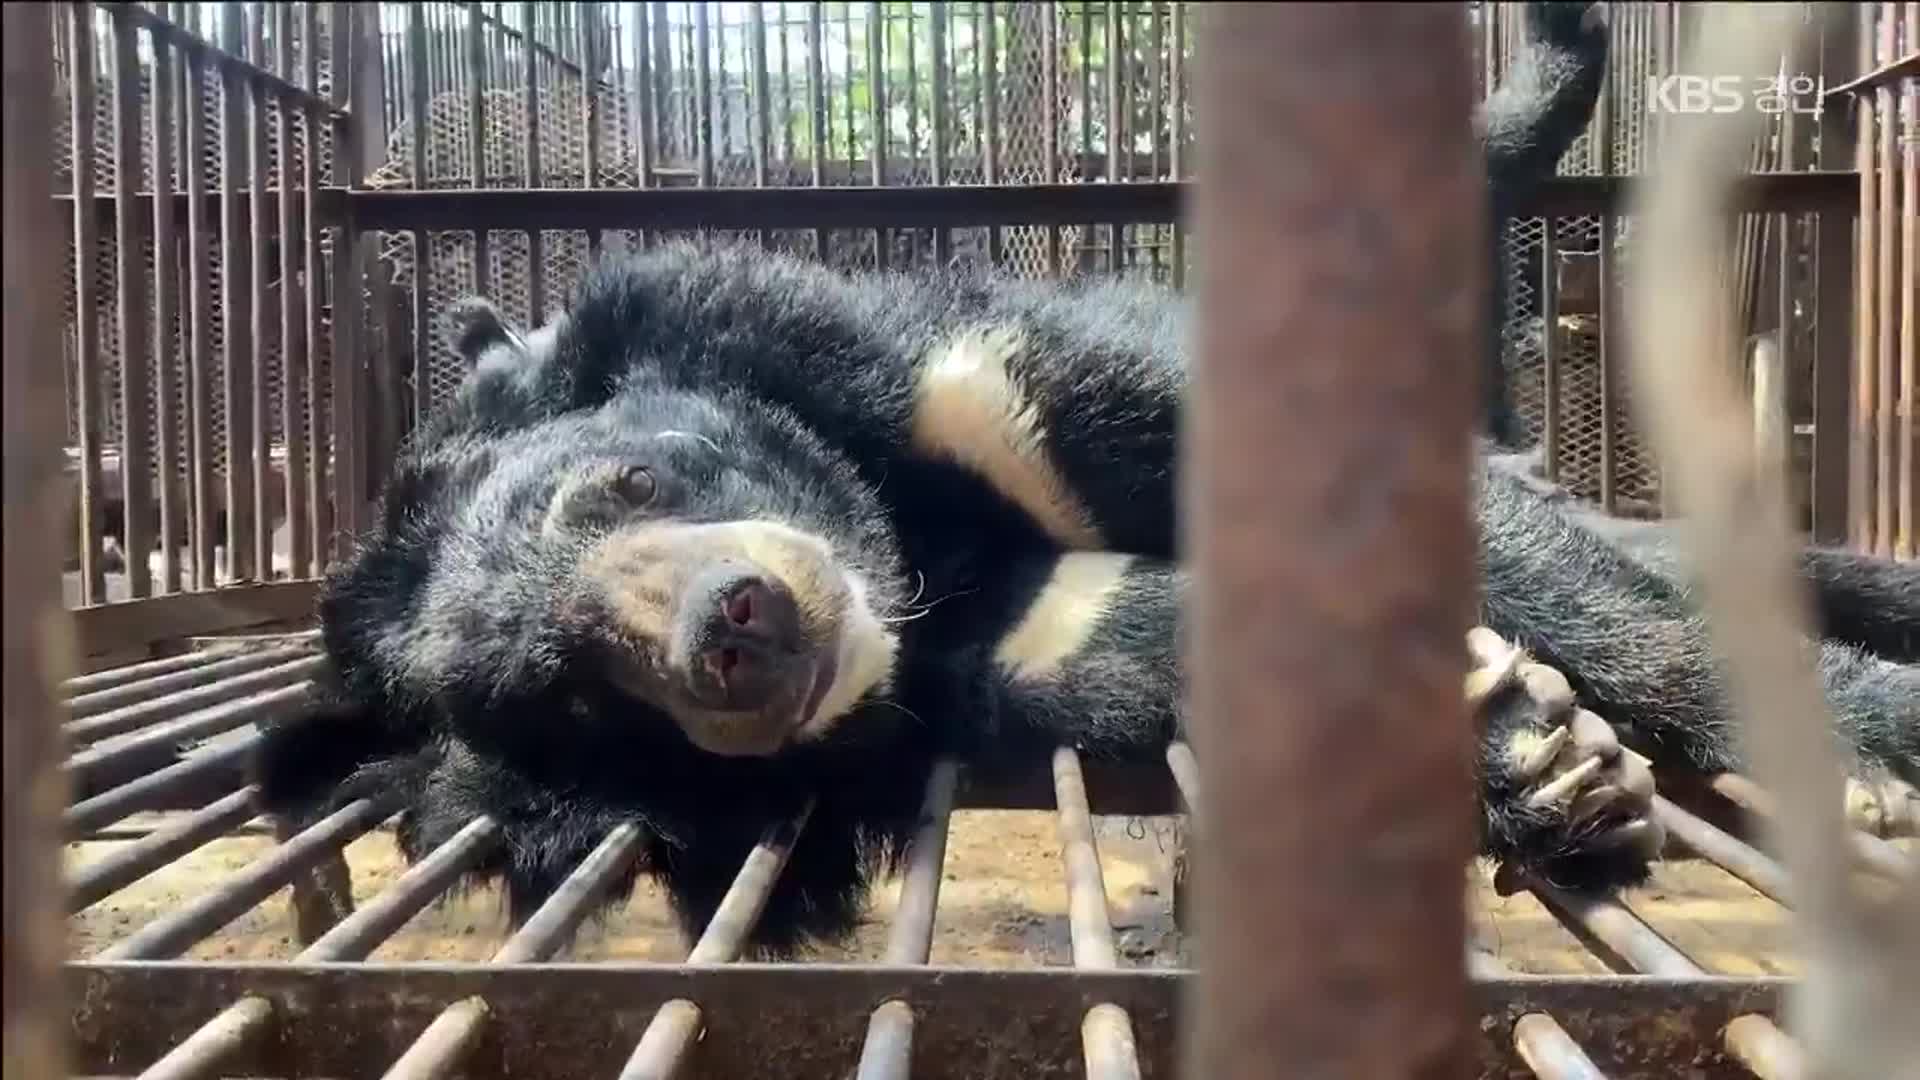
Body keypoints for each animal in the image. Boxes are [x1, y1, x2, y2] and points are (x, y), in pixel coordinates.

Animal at [259, 6, 1920, 949]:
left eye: (613, 487)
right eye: (573, 698)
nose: (738, 630)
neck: (904, 541)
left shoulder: (955, 376)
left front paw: (1843, 766)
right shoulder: (974, 652)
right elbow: (1133, 636)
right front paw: (1539, 757)